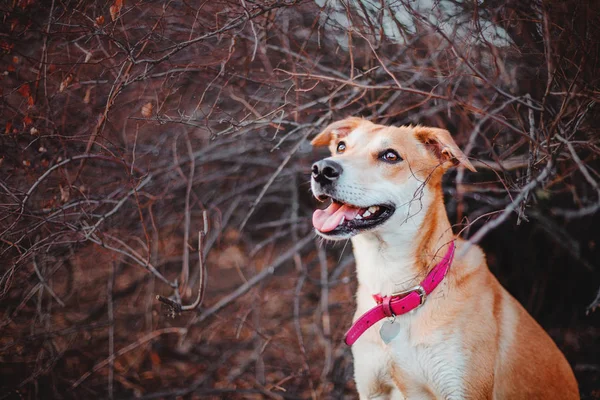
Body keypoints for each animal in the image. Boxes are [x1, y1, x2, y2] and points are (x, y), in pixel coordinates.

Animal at [310, 118, 576, 400]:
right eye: (341, 147)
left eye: (390, 156)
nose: (321, 169)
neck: (397, 291)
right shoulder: (374, 390)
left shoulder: (461, 388)